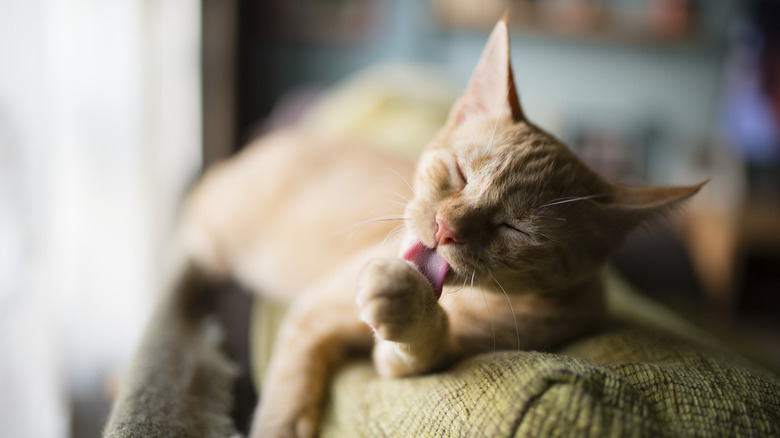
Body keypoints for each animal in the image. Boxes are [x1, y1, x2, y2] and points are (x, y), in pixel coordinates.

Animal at [180, 18, 704, 438]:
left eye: (516, 229)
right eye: (460, 174)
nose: (445, 227)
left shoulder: (414, 358)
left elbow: (421, 345)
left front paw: (409, 302)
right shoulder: (315, 312)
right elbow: (287, 397)